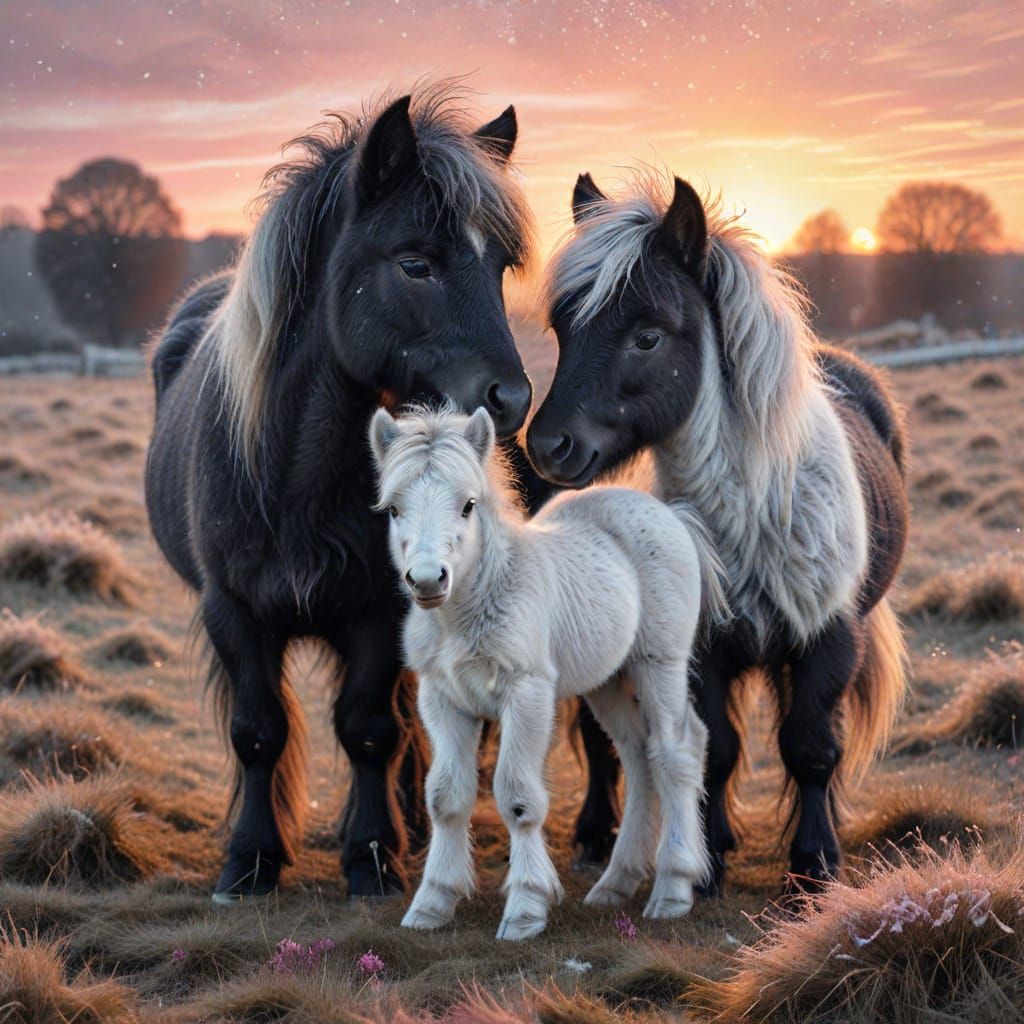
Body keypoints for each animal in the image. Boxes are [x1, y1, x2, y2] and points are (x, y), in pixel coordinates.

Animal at [144, 84, 541, 903]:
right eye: (415, 263)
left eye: (499, 266)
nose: (512, 400)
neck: (294, 481)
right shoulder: (232, 610)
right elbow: (257, 732)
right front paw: (250, 859)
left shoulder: (380, 611)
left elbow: (370, 728)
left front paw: (373, 857)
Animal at [369, 404, 727, 938]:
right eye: (394, 509)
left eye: (468, 505)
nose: (429, 580)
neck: (471, 610)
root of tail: (670, 515)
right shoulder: (442, 699)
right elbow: (445, 797)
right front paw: (431, 904)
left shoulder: (527, 693)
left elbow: (519, 798)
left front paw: (525, 909)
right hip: (607, 682)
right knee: (639, 756)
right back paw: (616, 884)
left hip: (658, 663)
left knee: (675, 751)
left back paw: (672, 889)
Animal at [526, 171, 909, 893]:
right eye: (563, 327)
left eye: (648, 336)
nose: (549, 447)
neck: (758, 512)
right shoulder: (700, 647)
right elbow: (715, 751)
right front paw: (701, 865)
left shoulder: (827, 637)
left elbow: (810, 748)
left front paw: (815, 866)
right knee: (603, 739)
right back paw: (600, 834)